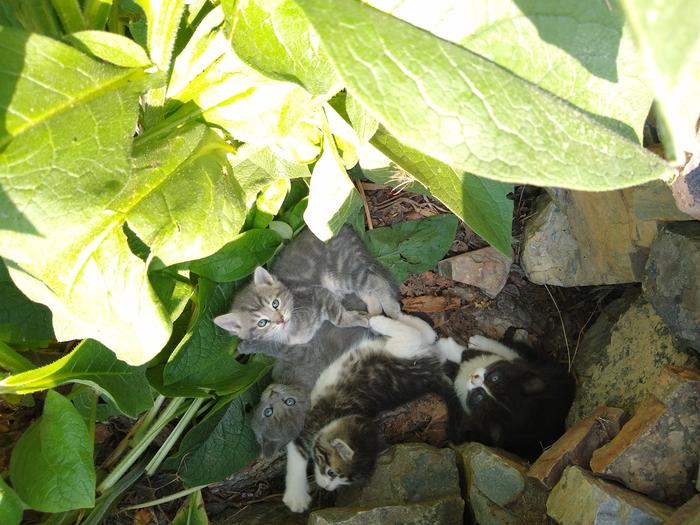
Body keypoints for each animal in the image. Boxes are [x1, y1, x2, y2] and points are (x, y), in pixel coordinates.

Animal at [282, 314, 462, 510]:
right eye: (331, 473)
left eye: (343, 481)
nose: (327, 488)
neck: (345, 415)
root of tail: (432, 375)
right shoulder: (309, 419)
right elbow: (297, 456)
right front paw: (296, 496)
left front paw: (297, 496)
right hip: (401, 352)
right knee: (420, 335)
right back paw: (385, 321)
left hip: (403, 351)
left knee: (417, 334)